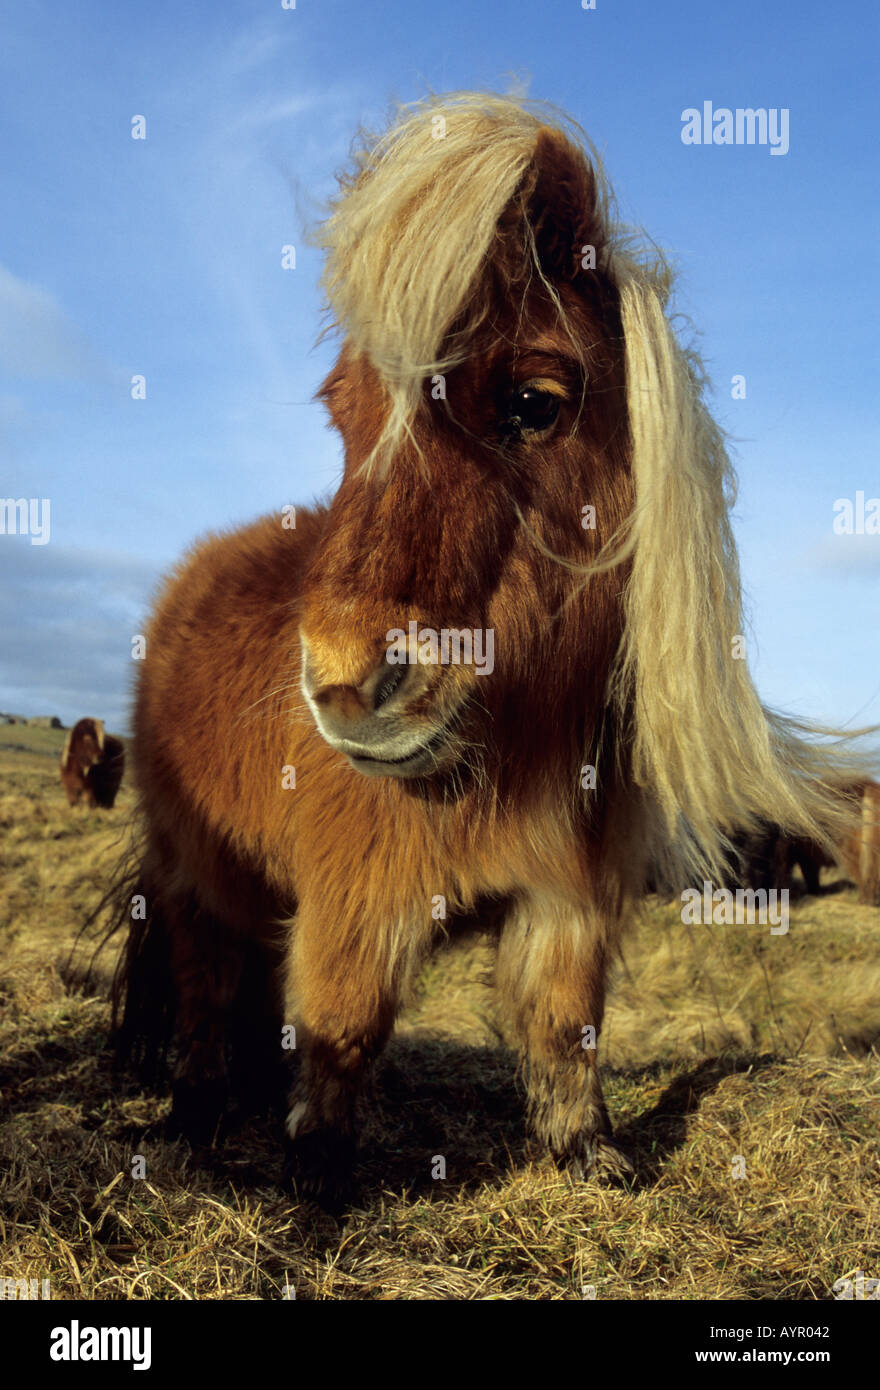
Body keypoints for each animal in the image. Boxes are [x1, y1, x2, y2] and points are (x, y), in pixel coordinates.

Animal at [113, 92, 867, 1200]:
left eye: (532, 403)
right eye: (345, 415)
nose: (344, 684)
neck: (507, 748)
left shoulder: (566, 902)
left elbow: (564, 1029)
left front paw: (589, 1155)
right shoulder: (356, 904)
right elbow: (342, 1028)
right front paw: (315, 1178)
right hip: (193, 875)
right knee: (204, 991)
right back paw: (194, 1116)